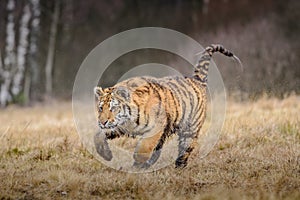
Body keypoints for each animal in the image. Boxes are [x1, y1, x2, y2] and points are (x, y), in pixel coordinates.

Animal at [94, 44, 239, 169]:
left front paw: (136, 165)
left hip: (190, 129)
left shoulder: (156, 127)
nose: (103, 122)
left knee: (184, 149)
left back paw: (178, 167)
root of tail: (196, 80)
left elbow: (144, 147)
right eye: (101, 108)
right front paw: (105, 154)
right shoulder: (120, 126)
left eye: (113, 108)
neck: (128, 120)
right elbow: (98, 135)